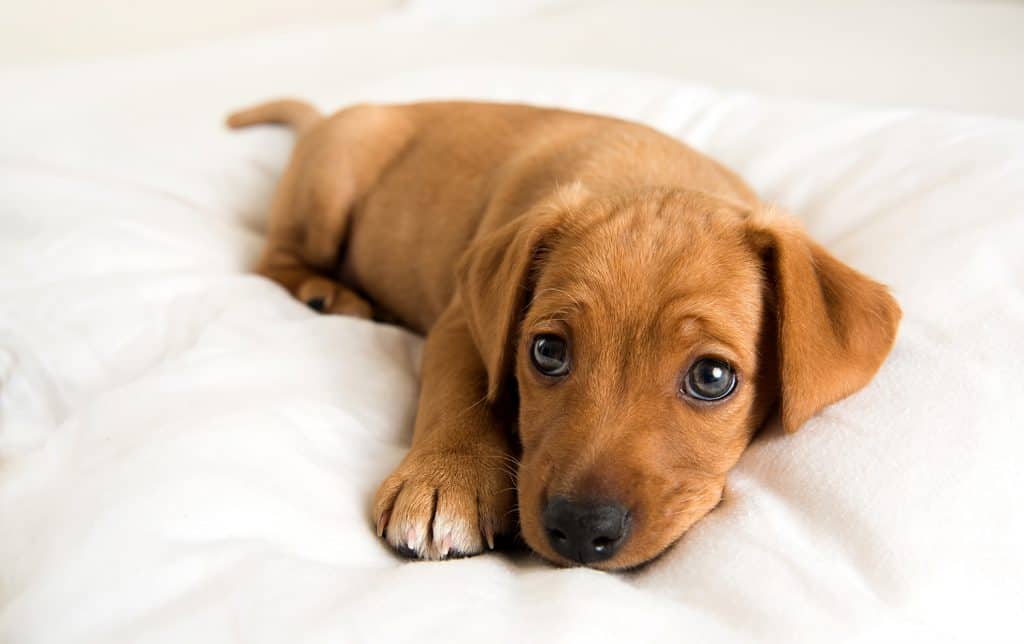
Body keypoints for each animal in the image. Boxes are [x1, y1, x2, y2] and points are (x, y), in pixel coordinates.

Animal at [228, 97, 901, 569]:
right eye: (548, 352)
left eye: (712, 377)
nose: (580, 529)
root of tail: (325, 119)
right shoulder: (461, 322)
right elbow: (462, 391)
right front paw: (444, 478)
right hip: (331, 180)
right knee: (272, 257)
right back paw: (327, 291)